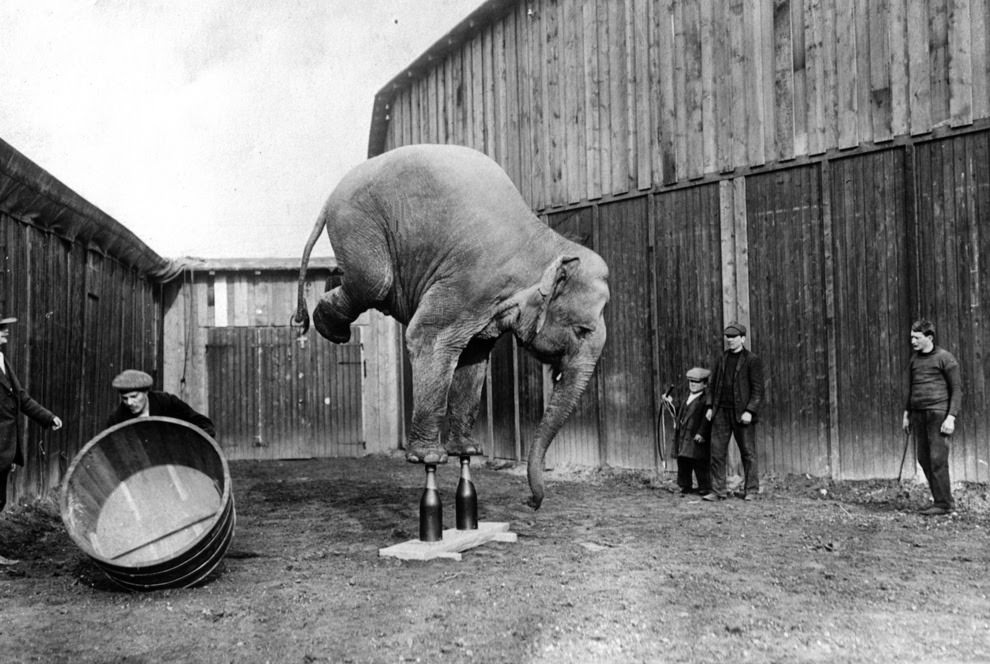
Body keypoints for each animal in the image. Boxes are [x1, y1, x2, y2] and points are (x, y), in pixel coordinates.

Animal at [290, 145, 608, 508]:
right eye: (582, 330)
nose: (531, 502)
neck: (545, 244)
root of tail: (331, 196)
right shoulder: (469, 281)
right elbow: (430, 338)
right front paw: (429, 457)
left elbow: (474, 358)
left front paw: (467, 450)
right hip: (358, 224)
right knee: (374, 282)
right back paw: (332, 330)